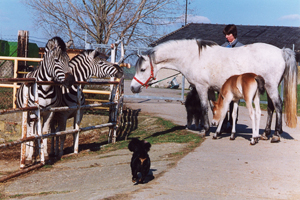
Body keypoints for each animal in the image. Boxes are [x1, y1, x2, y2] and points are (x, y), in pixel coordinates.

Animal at [15, 36, 74, 164]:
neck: (45, 88)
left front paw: (45, 154)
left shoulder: (49, 112)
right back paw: (28, 155)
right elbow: (33, 133)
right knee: (29, 131)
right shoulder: (33, 111)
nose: (70, 80)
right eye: (56, 60)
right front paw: (29, 157)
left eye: (68, 60)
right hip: (28, 113)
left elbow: (45, 131)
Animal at [131, 39, 298, 142]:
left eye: (143, 69)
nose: (133, 88)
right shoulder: (211, 90)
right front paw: (217, 128)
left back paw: (276, 135)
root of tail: (281, 52)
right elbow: (214, 108)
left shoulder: (201, 88)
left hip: (271, 87)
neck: (193, 57)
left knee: (278, 106)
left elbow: (204, 107)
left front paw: (205, 130)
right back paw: (265, 134)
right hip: (268, 88)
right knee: (270, 108)